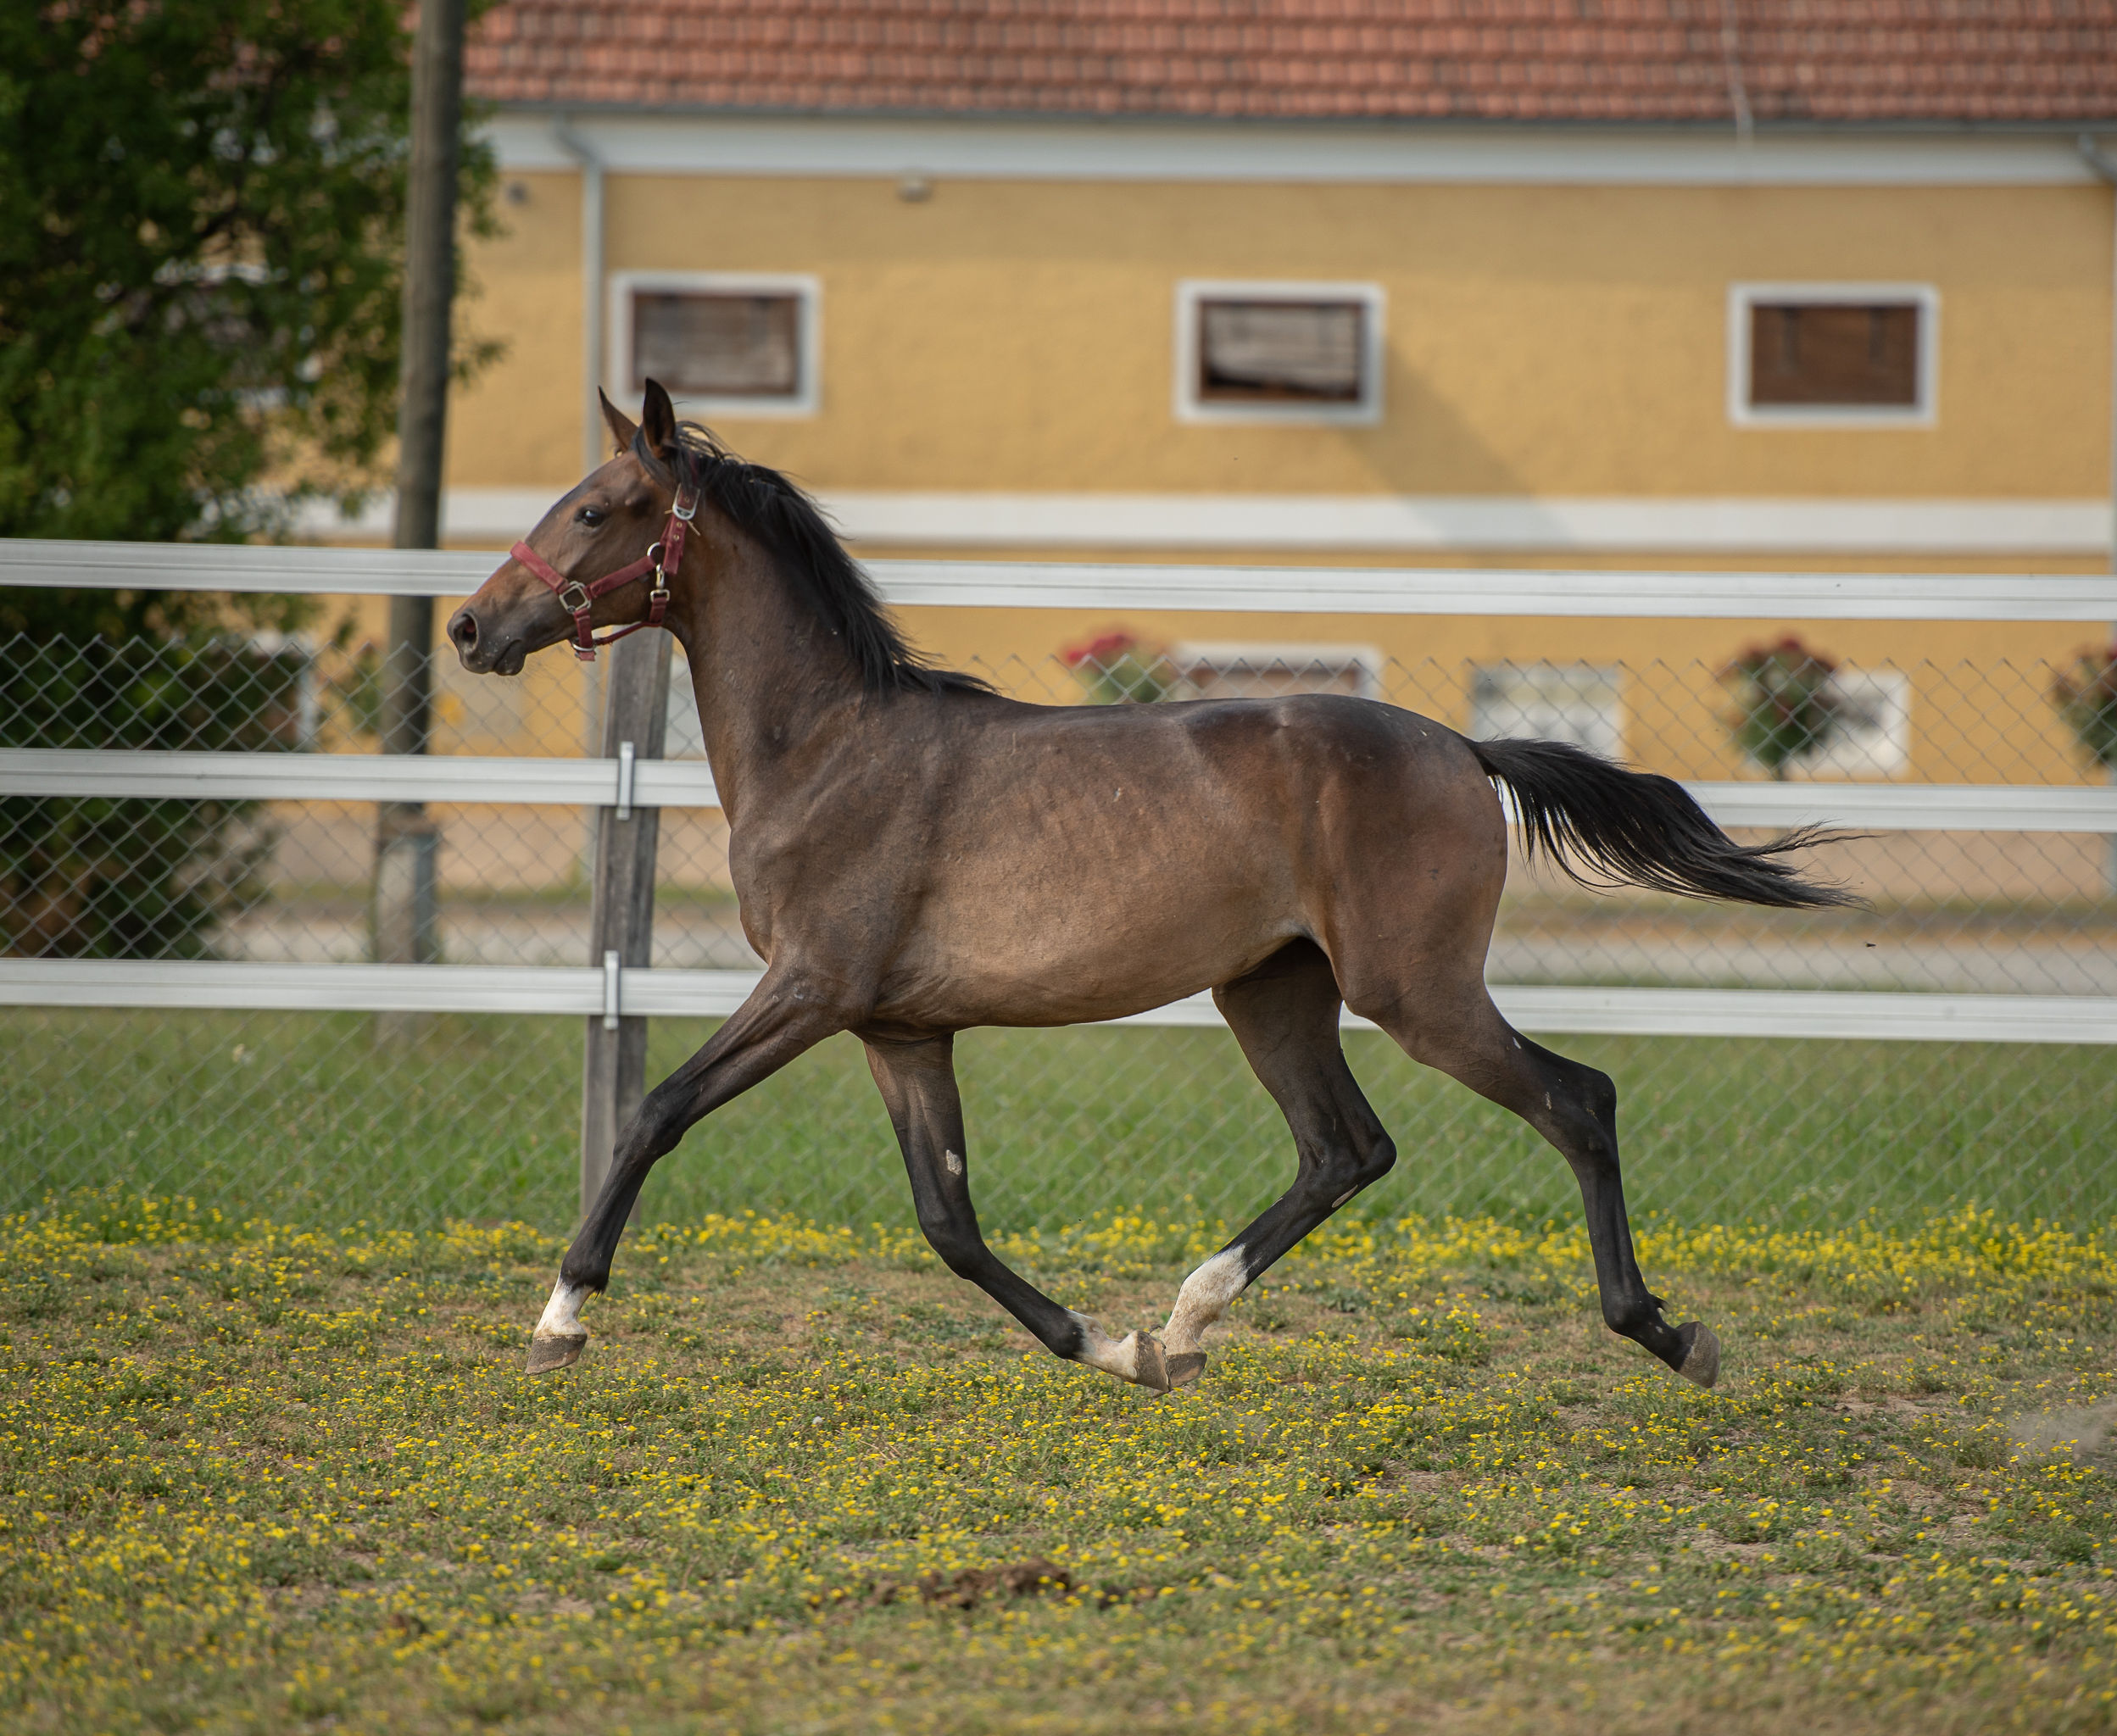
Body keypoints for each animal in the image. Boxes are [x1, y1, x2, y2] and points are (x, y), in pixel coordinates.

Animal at [447, 380, 1849, 1396]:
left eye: (597, 508)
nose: (470, 627)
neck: (830, 747)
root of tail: (1462, 747)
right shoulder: (900, 1029)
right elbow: (948, 1221)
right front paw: (1108, 1348)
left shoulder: (810, 988)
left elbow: (657, 1111)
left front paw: (559, 1319)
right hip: (1271, 993)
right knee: (1348, 1147)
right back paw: (1182, 1321)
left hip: (1417, 993)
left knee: (1574, 1101)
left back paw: (1666, 1334)